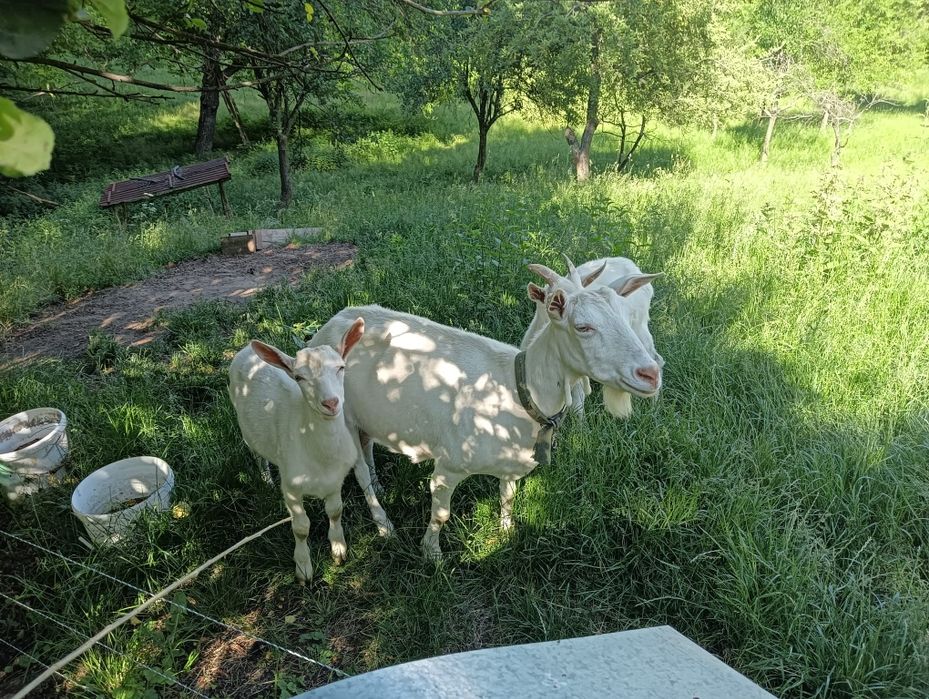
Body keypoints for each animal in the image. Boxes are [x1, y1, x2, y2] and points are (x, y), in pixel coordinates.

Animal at [228, 317, 393, 582]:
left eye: (341, 367)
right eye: (299, 377)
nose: (331, 403)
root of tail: (245, 350)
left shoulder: (335, 479)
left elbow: (335, 511)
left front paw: (338, 550)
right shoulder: (291, 486)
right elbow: (301, 527)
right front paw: (304, 569)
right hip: (245, 427)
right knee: (257, 453)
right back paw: (266, 479)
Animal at [522, 256, 664, 418]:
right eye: (552, 299)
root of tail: (633, 267)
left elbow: (578, 402)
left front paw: (580, 424)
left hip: (639, 328)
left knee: (656, 359)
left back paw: (654, 407)